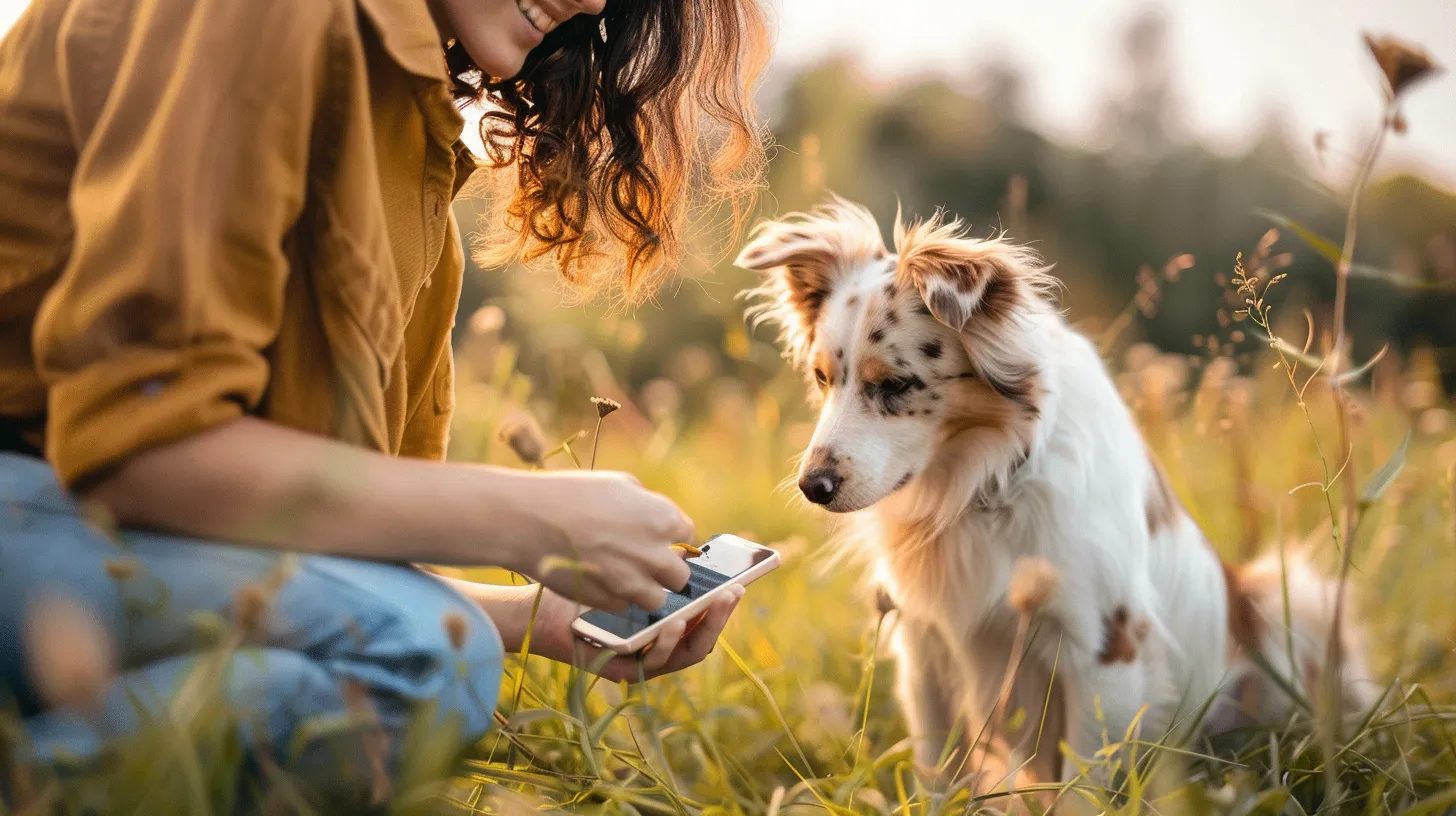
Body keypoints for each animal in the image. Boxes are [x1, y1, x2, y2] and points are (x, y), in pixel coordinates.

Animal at [739, 196, 1374, 786]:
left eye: (895, 385)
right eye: (822, 378)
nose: (812, 486)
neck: (983, 483)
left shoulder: (1103, 651)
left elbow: (1081, 783)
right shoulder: (925, 649)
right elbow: (939, 774)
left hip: (1293, 599)